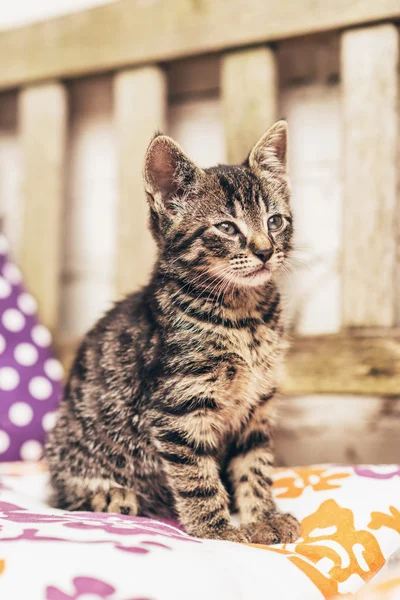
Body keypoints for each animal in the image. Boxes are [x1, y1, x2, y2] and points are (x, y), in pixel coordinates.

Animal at [44, 120, 300, 544]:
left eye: (275, 221)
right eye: (226, 228)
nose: (265, 251)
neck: (245, 317)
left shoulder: (257, 408)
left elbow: (255, 468)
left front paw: (263, 517)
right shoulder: (178, 406)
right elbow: (197, 476)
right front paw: (218, 531)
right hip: (72, 444)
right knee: (66, 492)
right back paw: (114, 496)